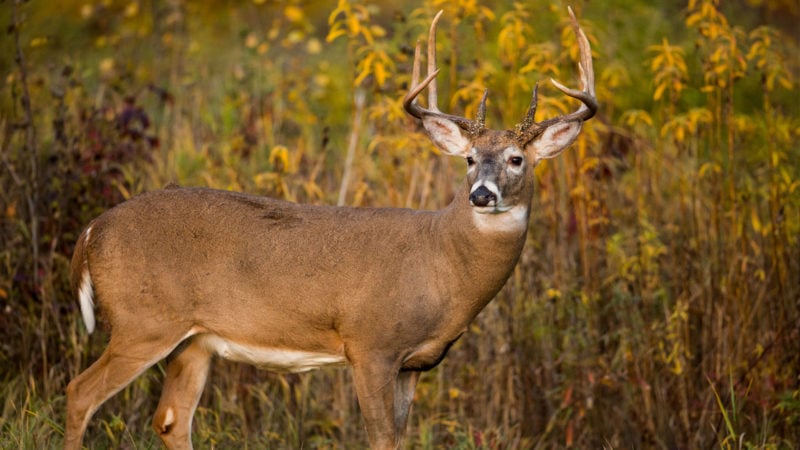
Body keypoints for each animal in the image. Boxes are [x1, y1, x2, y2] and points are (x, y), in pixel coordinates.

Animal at [65, 7, 596, 450]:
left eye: (516, 159)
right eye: (468, 159)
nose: (481, 195)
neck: (441, 261)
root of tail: (92, 231)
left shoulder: (414, 364)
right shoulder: (370, 343)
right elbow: (381, 440)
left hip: (194, 339)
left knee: (171, 419)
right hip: (144, 320)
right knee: (79, 393)